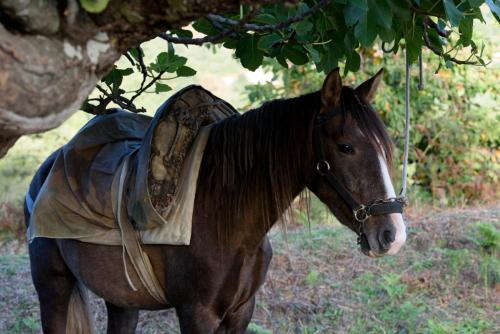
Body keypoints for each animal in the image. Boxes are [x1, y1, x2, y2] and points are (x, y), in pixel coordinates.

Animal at [25, 67, 406, 332]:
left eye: (385, 146)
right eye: (346, 147)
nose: (393, 234)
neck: (224, 218)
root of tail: (48, 166)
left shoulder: (241, 313)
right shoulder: (197, 315)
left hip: (121, 300)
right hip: (53, 288)